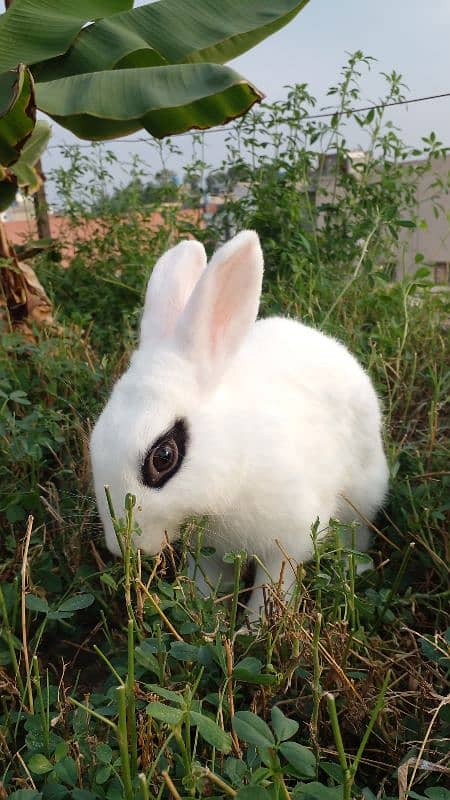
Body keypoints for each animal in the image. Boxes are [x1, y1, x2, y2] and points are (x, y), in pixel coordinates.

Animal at [89, 231, 388, 620]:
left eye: (164, 457)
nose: (122, 547)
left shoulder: (286, 541)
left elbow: (272, 586)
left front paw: (256, 626)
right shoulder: (210, 552)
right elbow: (208, 581)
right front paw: (199, 611)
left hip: (362, 495)